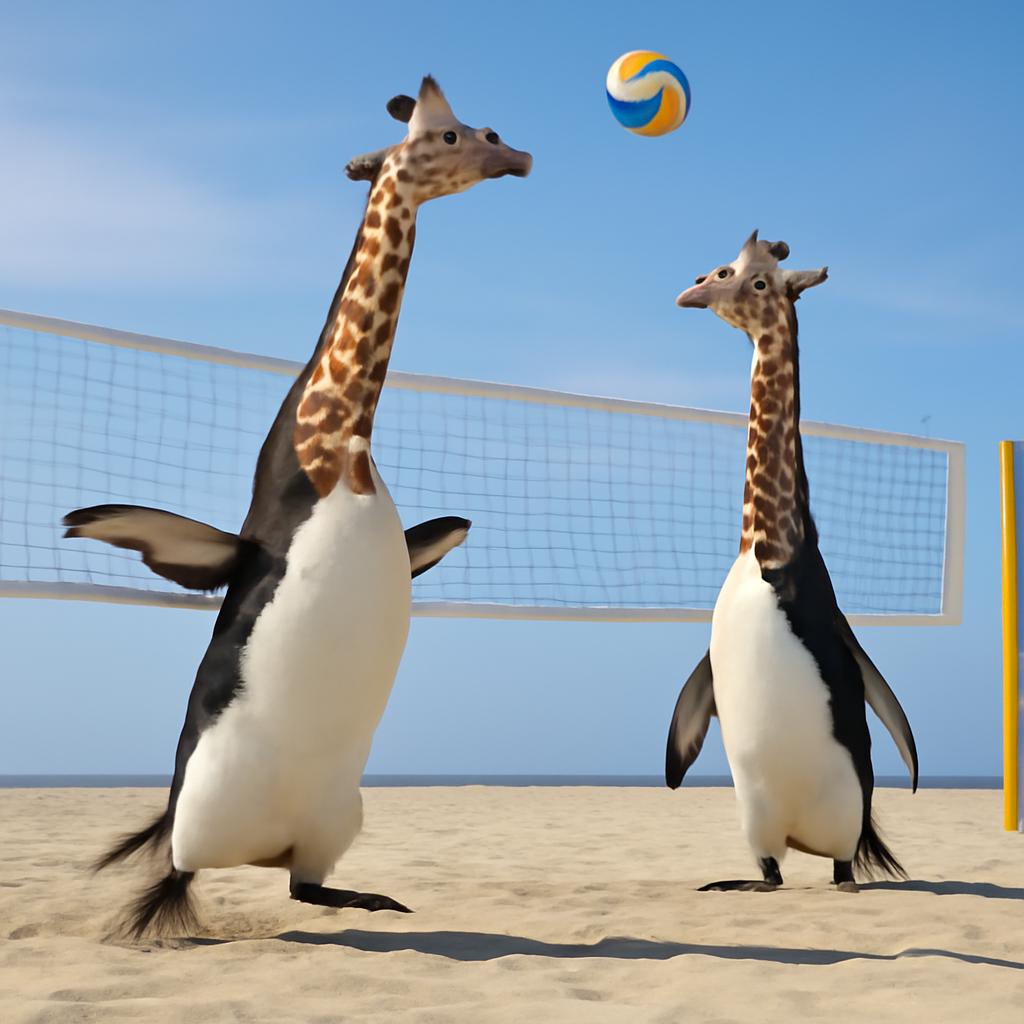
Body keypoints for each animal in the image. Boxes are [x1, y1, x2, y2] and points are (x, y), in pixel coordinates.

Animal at [65, 76, 531, 938]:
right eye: (453, 135)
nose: (516, 154)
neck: (338, 456)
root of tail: (256, 847)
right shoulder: (253, 538)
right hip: (206, 804)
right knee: (179, 873)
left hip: (333, 812)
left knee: (305, 887)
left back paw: (370, 898)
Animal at [665, 231, 918, 891]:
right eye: (720, 269)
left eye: (752, 279)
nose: (692, 289)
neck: (765, 553)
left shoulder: (829, 619)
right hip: (756, 811)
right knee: (773, 869)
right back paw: (745, 880)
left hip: (844, 813)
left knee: (841, 865)